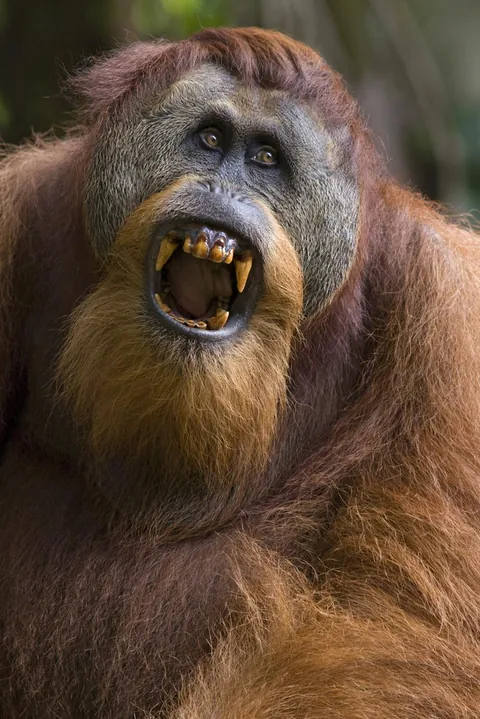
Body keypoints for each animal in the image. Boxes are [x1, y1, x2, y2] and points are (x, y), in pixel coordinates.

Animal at [1, 26, 480, 718]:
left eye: (266, 159)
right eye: (208, 139)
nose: (221, 188)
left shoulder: (451, 326)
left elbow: (404, 625)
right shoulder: (12, 216)